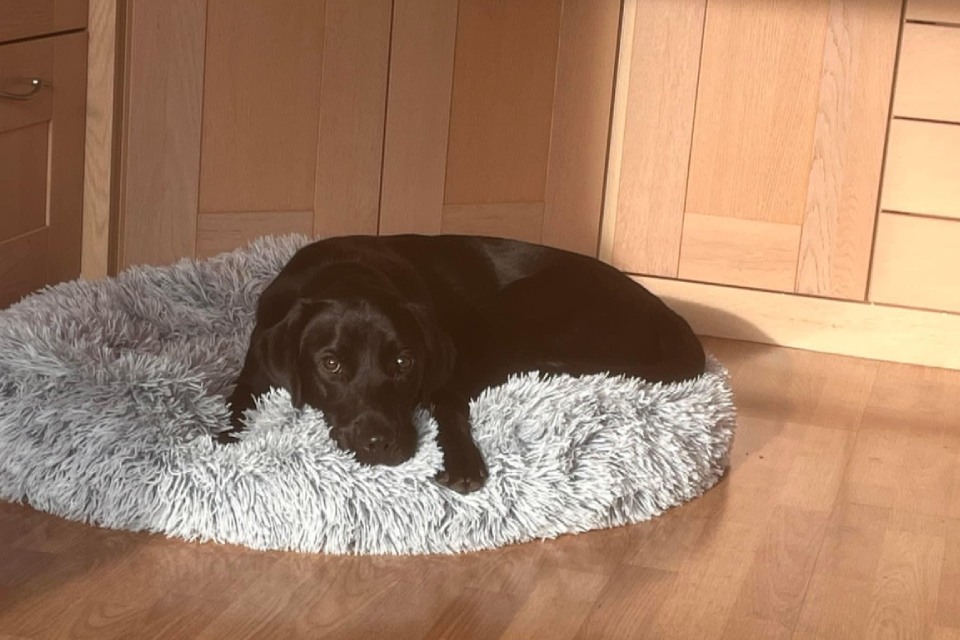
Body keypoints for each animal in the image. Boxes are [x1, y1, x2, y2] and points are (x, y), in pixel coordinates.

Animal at [218, 238, 704, 492]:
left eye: (403, 362)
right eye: (331, 363)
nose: (380, 444)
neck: (348, 270)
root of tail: (670, 318)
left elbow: (449, 403)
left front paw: (463, 458)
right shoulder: (255, 369)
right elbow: (233, 405)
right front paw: (221, 445)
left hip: (518, 307)